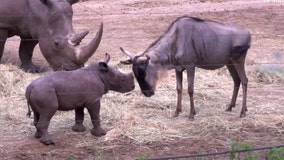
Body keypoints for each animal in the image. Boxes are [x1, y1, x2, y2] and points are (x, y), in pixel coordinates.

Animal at [120, 15, 251, 120]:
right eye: (135, 73)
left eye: (142, 72)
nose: (147, 93)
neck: (175, 41)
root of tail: (248, 33)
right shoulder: (178, 69)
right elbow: (179, 89)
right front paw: (176, 112)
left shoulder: (190, 66)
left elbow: (190, 89)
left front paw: (191, 114)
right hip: (230, 63)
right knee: (236, 81)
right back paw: (230, 107)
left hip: (238, 61)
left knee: (244, 80)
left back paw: (243, 112)